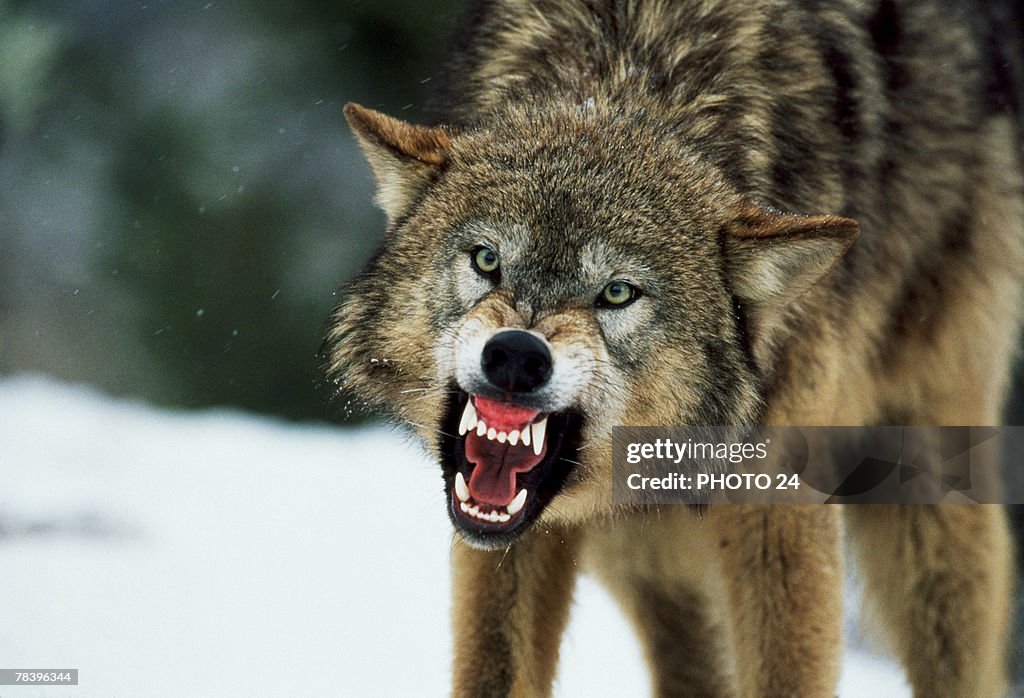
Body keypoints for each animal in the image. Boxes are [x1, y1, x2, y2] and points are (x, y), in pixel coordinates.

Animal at [326, 0, 1024, 695]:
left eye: (617, 293)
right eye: (487, 260)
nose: (517, 355)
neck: (627, 75)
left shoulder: (777, 513)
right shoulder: (510, 535)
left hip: (926, 494)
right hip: (643, 555)